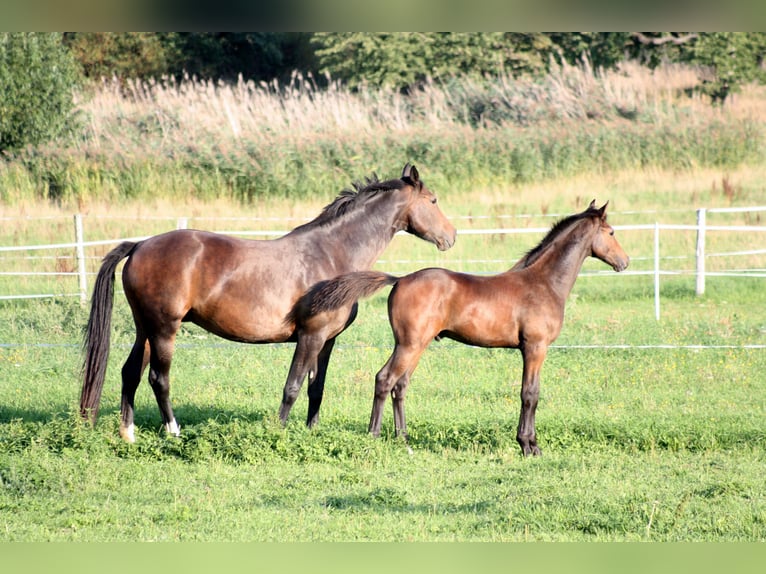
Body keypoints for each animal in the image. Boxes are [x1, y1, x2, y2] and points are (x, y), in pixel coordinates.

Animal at [81, 164, 456, 444]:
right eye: (434, 200)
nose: (451, 237)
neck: (331, 254)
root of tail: (140, 245)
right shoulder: (310, 336)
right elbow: (292, 387)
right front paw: (279, 430)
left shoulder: (327, 341)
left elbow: (316, 388)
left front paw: (311, 431)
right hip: (164, 329)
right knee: (159, 378)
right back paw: (173, 431)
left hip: (145, 328)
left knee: (130, 372)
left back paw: (128, 434)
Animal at [294, 202, 632, 460]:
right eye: (611, 232)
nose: (625, 261)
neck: (544, 283)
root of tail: (400, 279)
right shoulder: (535, 347)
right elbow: (530, 394)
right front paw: (529, 446)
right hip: (410, 344)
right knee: (385, 379)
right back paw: (375, 435)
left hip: (417, 344)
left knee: (400, 385)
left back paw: (404, 438)